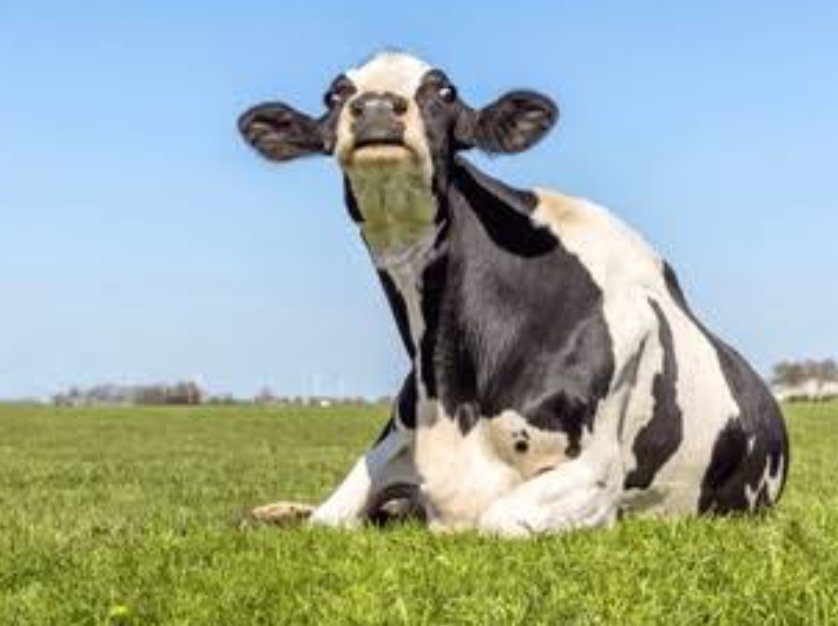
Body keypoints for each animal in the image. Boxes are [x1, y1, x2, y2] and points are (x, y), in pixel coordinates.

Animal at [238, 51, 789, 536]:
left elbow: (497, 519)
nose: (375, 107)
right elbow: (326, 519)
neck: (451, 389)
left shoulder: (594, 476)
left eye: (444, 91)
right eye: (335, 93)